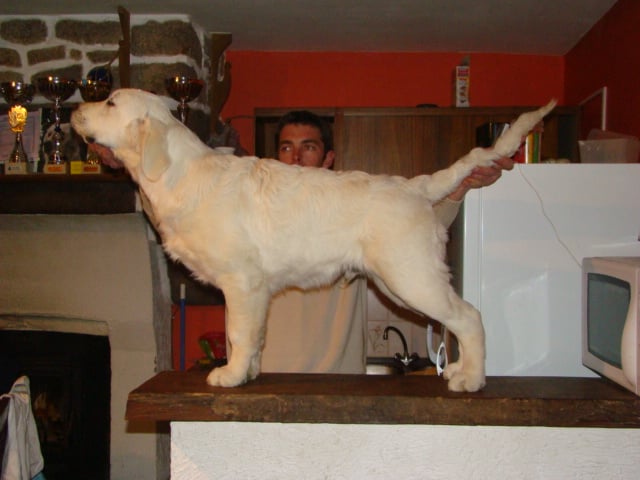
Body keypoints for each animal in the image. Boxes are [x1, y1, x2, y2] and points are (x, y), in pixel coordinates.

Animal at [71, 89, 555, 392]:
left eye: (110, 101)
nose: (74, 108)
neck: (178, 172)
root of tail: (416, 187)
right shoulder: (251, 292)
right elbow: (250, 336)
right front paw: (247, 372)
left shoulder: (241, 281)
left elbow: (237, 333)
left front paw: (228, 375)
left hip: (410, 277)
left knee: (469, 317)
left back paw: (470, 379)